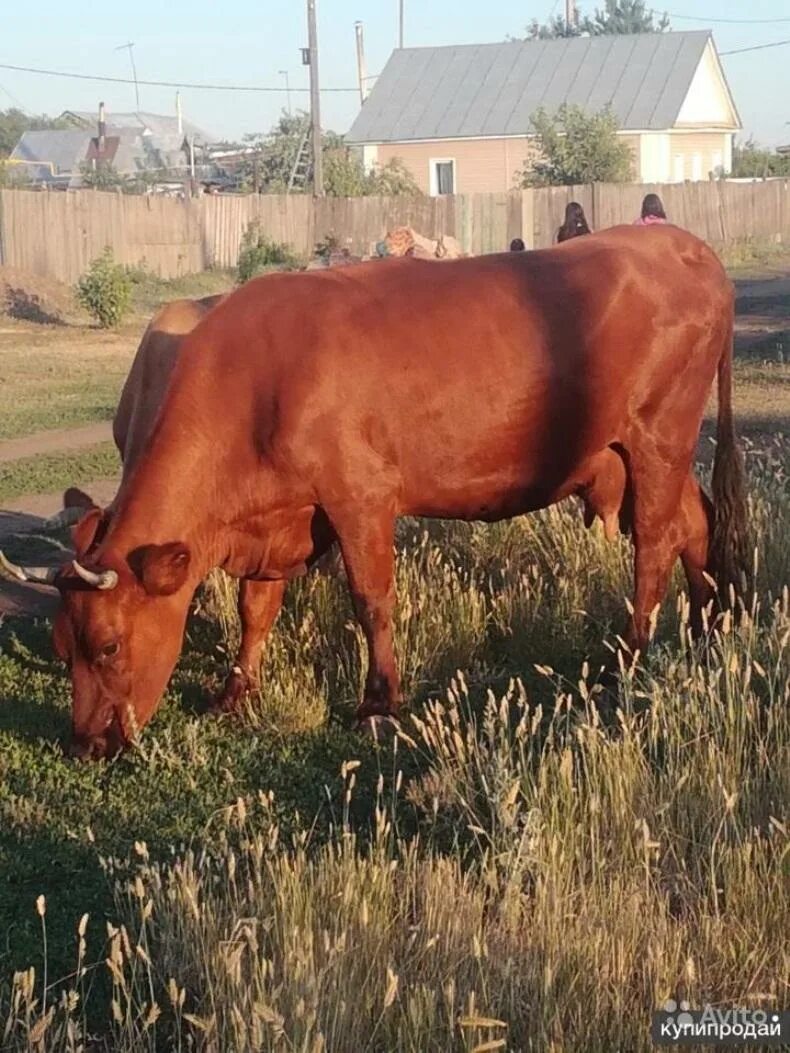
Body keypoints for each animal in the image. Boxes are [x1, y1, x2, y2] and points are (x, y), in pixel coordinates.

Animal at [0, 224, 749, 758]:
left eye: (107, 646)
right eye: (61, 647)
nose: (86, 744)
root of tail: (684, 245)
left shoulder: (359, 497)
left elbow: (372, 600)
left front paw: (378, 703)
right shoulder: (280, 516)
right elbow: (255, 609)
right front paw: (235, 692)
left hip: (658, 439)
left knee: (655, 542)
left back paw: (632, 655)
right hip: (634, 456)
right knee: (695, 525)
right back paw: (706, 627)